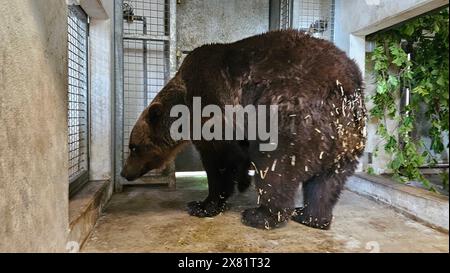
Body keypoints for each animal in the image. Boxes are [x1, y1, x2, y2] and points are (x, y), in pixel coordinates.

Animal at [121, 30, 368, 230]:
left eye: (133, 147)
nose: (125, 173)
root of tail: (347, 88)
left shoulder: (212, 104)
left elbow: (220, 161)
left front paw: (203, 204)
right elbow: (237, 157)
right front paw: (240, 182)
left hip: (292, 120)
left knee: (276, 169)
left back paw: (260, 215)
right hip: (345, 139)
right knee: (327, 182)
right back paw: (310, 216)